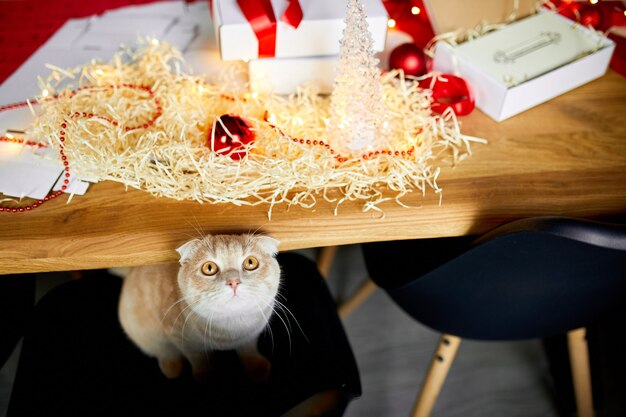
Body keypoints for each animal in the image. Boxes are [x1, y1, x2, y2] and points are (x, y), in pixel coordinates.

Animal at [118, 232, 280, 382]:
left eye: (250, 262)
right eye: (209, 268)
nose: (233, 281)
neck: (230, 328)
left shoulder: (251, 335)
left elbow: (249, 349)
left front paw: (256, 367)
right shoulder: (180, 338)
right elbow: (198, 359)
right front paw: (205, 376)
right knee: (163, 351)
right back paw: (171, 366)